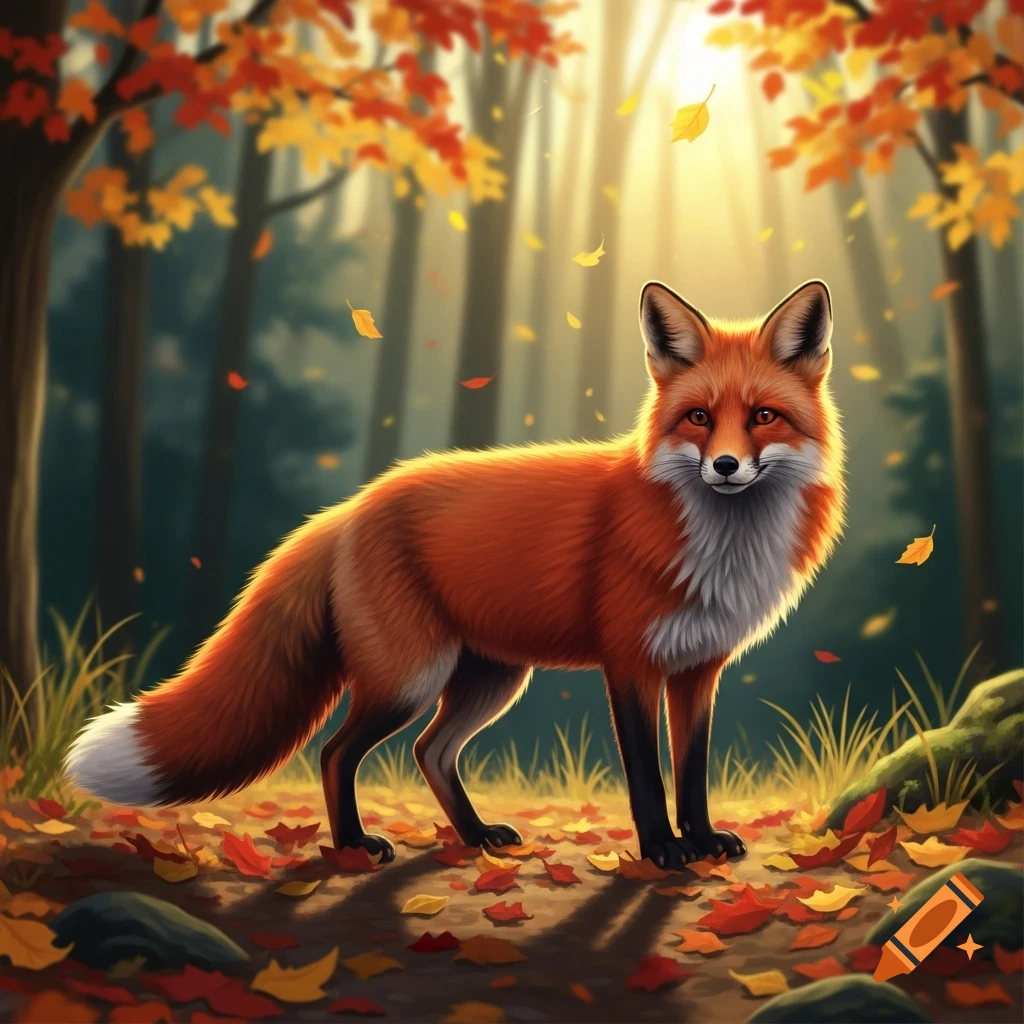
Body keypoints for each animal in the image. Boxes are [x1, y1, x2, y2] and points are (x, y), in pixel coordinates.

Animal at [66, 279, 844, 870]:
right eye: (699, 418)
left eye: (764, 417)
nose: (726, 466)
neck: (718, 546)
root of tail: (352, 506)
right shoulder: (630, 663)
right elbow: (649, 779)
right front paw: (662, 850)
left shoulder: (697, 670)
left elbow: (692, 774)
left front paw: (702, 840)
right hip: (410, 676)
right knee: (336, 752)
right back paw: (353, 845)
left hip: (488, 679)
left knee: (430, 752)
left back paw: (474, 837)